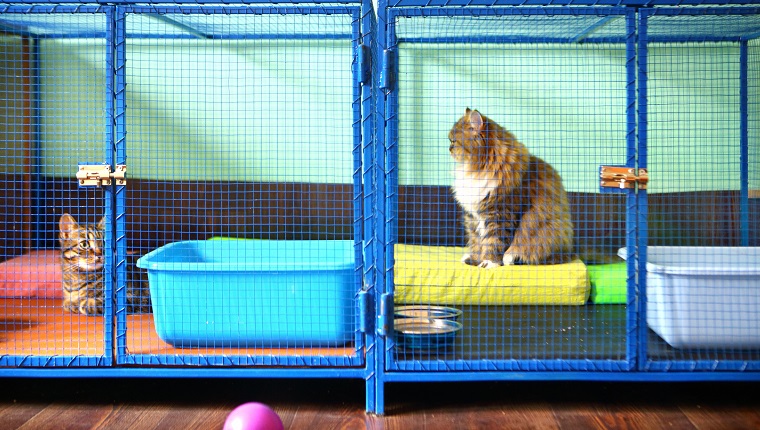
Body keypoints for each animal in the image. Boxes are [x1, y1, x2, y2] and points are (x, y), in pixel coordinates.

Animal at [448, 109, 572, 268]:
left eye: (453, 141)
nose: (449, 148)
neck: (479, 169)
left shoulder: (500, 214)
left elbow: (493, 242)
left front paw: (489, 262)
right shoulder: (474, 216)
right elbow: (476, 241)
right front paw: (475, 260)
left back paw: (512, 258)